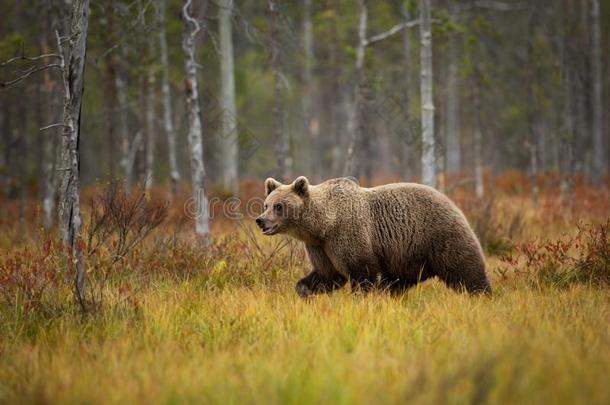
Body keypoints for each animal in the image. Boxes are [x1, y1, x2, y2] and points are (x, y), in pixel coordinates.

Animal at [254, 175, 492, 296]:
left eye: (279, 206)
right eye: (266, 204)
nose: (260, 220)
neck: (322, 226)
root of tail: (451, 201)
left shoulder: (348, 234)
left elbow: (361, 273)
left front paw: (362, 299)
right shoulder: (320, 247)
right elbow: (327, 274)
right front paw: (304, 289)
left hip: (438, 235)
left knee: (465, 269)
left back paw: (482, 294)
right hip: (406, 256)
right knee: (397, 281)